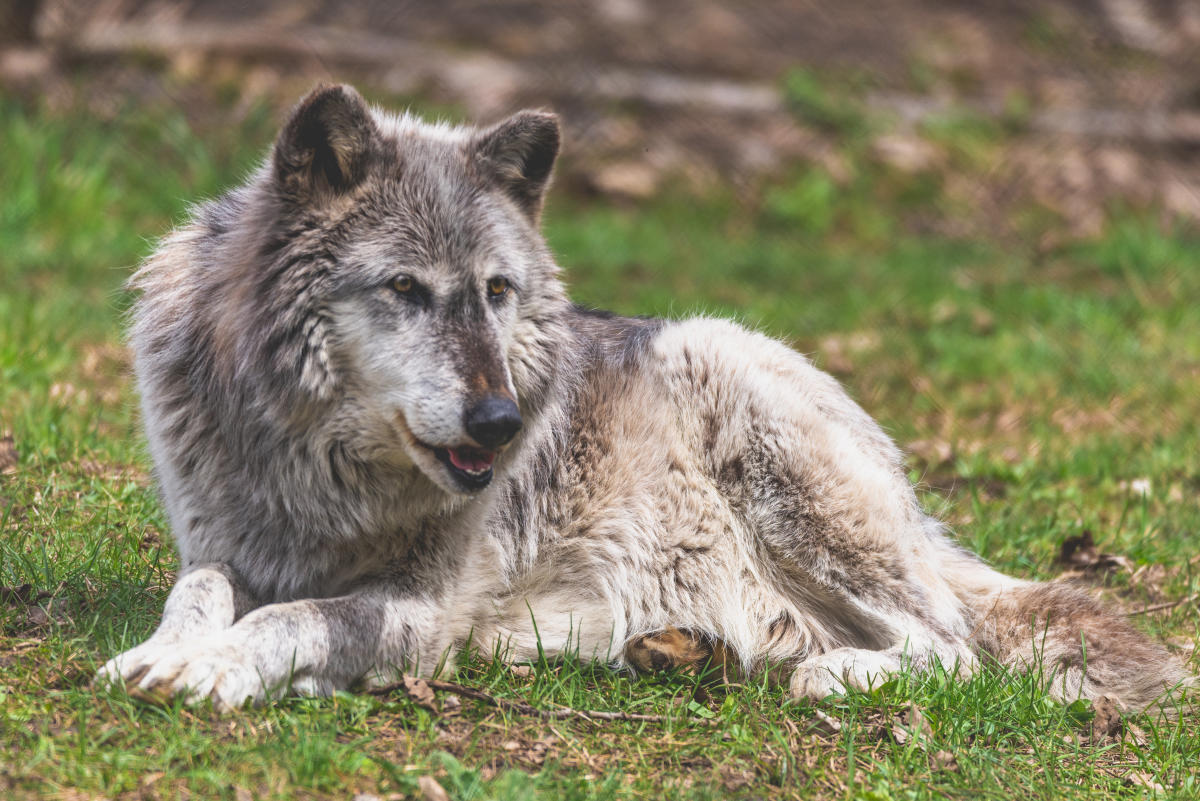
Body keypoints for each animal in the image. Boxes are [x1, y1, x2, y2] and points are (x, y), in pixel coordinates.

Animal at [96, 84, 1190, 714]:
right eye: (404, 289)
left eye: (497, 293)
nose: (503, 423)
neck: (318, 467)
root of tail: (920, 511)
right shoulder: (221, 544)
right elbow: (202, 591)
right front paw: (161, 654)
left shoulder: (419, 611)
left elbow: (294, 618)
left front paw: (214, 669)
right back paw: (675, 651)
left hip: (754, 420)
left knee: (954, 644)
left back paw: (824, 675)